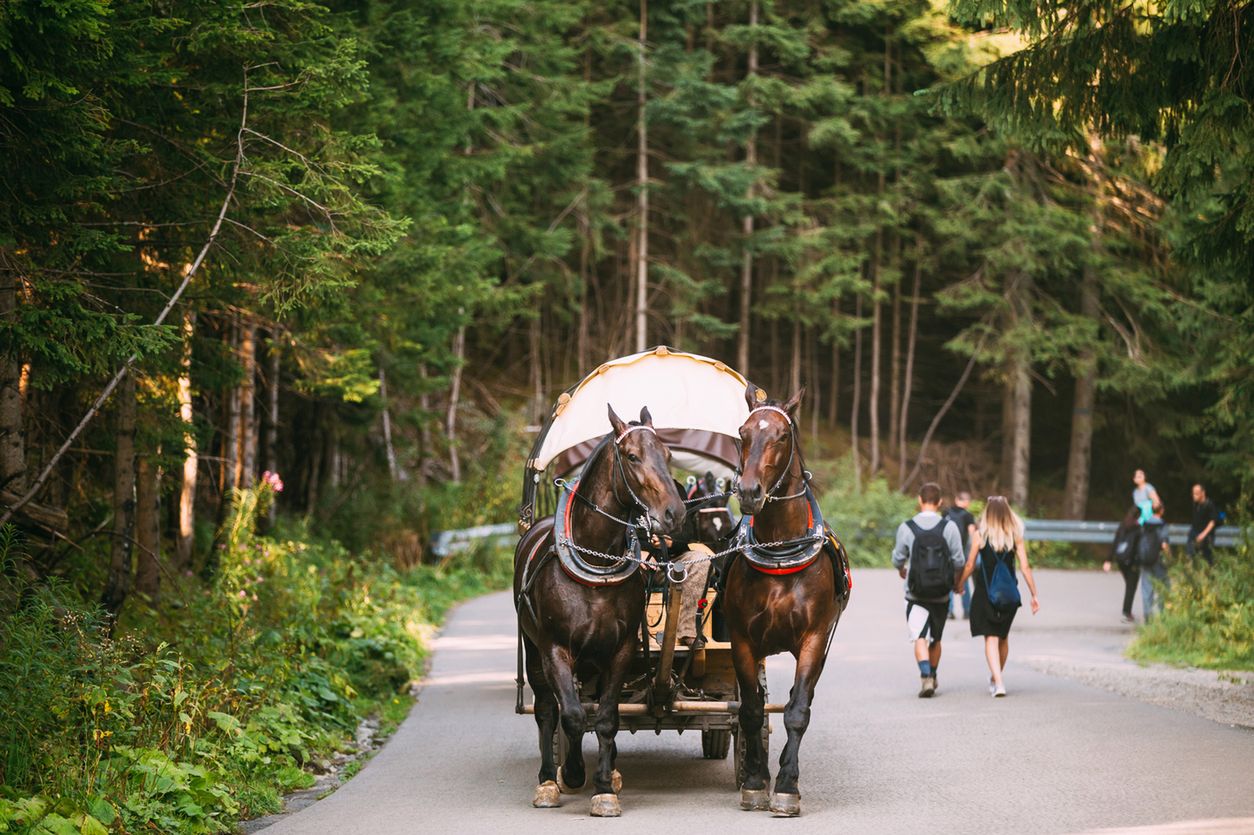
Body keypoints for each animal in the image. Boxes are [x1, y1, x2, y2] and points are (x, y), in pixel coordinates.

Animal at [511, 403, 687, 812]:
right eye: (632, 456)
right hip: (534, 650)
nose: (675, 514)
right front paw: (573, 774)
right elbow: (574, 715)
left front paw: (605, 787)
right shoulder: (556, 650)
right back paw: (548, 779)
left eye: (668, 454)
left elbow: (607, 716)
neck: (595, 560)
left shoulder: (620, 650)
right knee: (547, 709)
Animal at [727, 383, 852, 812]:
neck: (782, 550)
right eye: (743, 433)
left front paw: (786, 784)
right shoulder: (743, 641)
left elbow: (797, 710)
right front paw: (754, 779)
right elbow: (751, 709)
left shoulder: (814, 639)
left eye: (782, 436)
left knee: (801, 697)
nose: (750, 492)